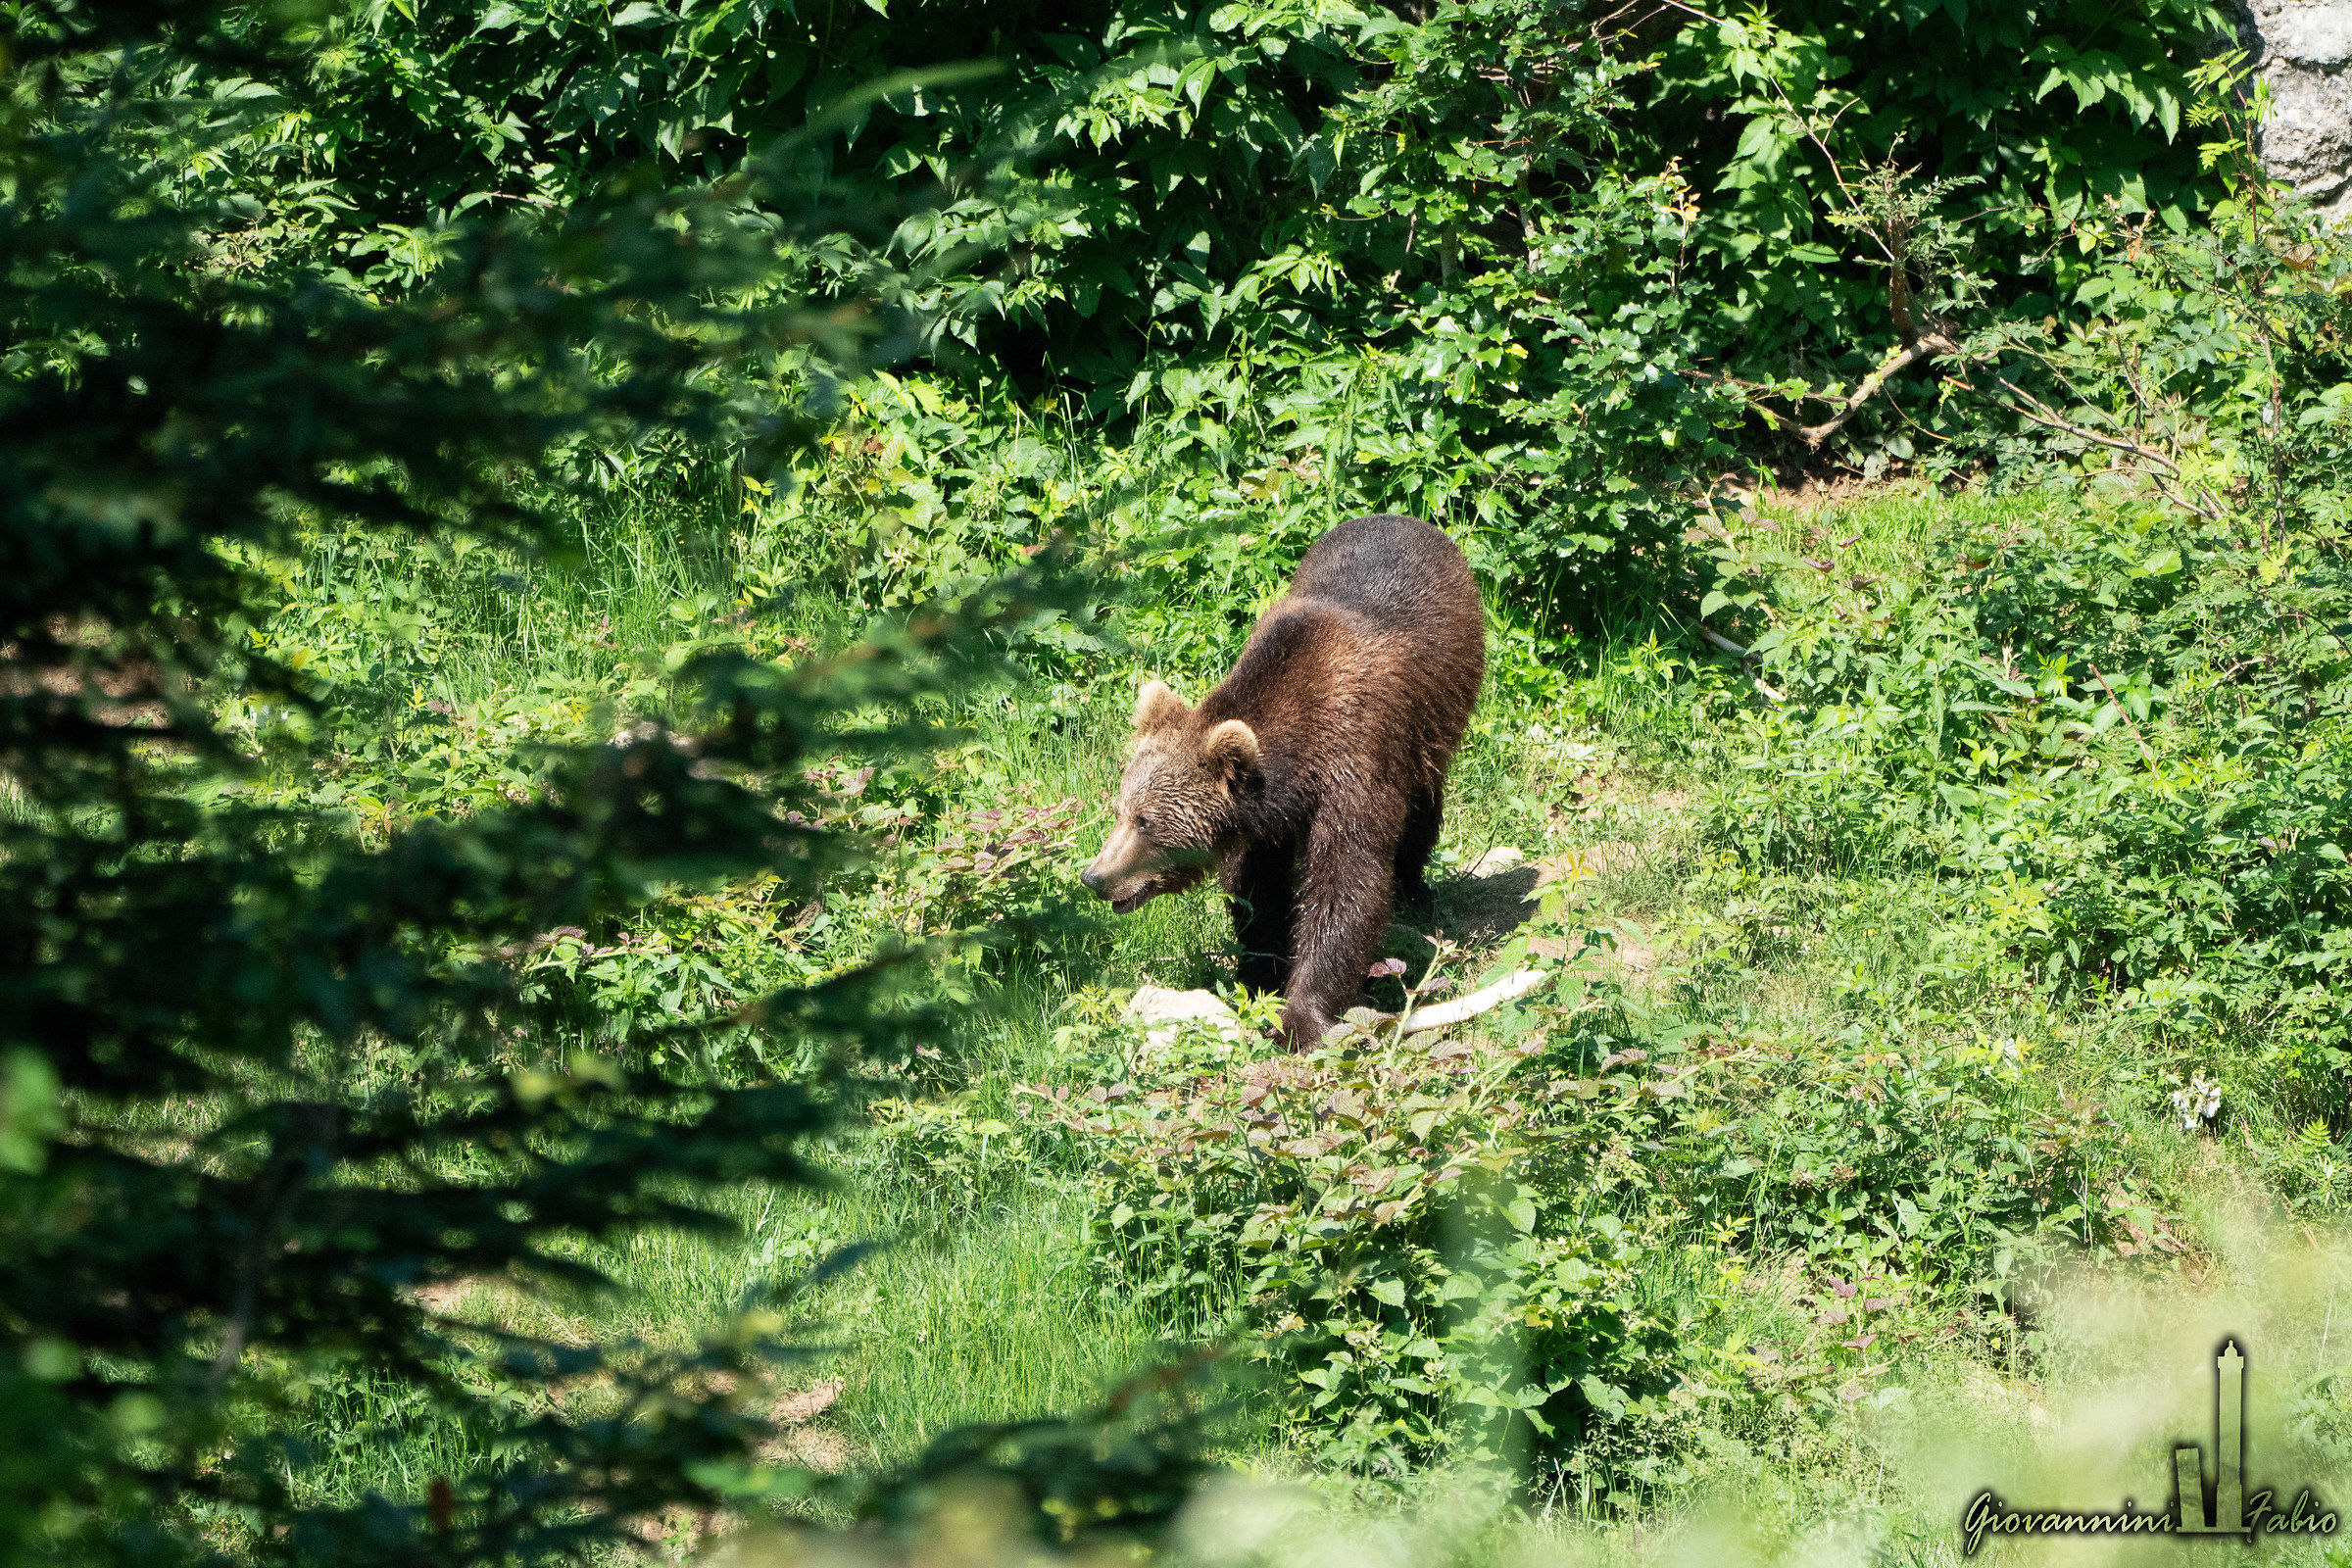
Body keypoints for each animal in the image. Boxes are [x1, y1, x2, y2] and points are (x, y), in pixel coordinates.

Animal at [1078, 513, 1486, 1049]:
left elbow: (1347, 883)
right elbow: (1258, 891)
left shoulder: (1354, 763)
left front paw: (1301, 1016)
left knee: (1420, 805)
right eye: (1119, 811)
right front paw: (1259, 975)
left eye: (1147, 822)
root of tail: (1406, 520)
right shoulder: (1262, 823)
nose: (1096, 876)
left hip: (1440, 708)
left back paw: (1415, 890)